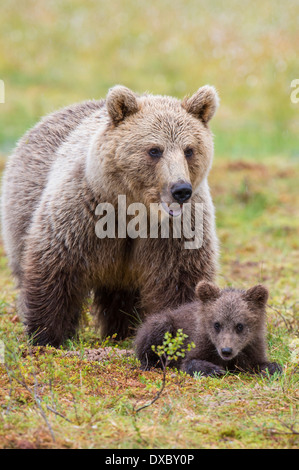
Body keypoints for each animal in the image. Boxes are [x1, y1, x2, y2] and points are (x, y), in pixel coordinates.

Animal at [0, 86, 220, 346]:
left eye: (189, 150)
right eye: (154, 150)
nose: (181, 190)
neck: (134, 208)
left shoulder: (177, 230)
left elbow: (181, 278)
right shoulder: (86, 213)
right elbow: (57, 266)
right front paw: (48, 336)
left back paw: (123, 332)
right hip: (22, 208)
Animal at [135, 280, 282, 376]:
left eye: (239, 326)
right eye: (217, 324)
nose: (226, 351)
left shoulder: (252, 347)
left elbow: (262, 363)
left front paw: (272, 368)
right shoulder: (200, 342)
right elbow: (189, 362)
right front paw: (213, 369)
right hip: (163, 324)